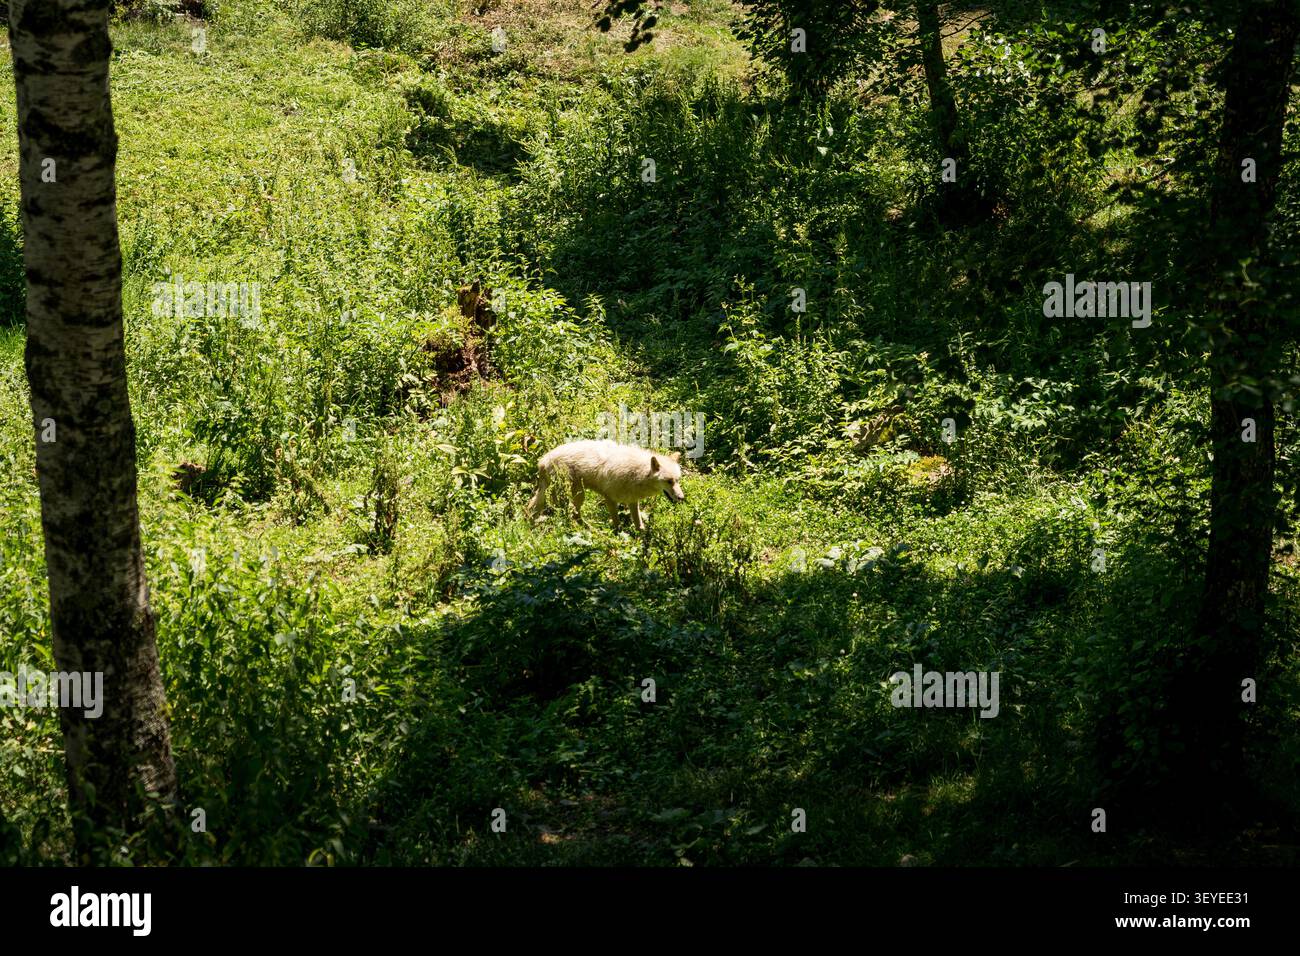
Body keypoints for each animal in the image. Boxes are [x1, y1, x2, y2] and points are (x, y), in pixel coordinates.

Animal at [526, 440, 686, 530]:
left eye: (677, 480)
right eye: (669, 481)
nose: (682, 498)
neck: (637, 472)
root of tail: (543, 460)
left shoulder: (632, 501)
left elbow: (639, 526)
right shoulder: (609, 499)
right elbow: (617, 525)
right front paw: (620, 537)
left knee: (532, 507)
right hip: (577, 494)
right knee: (573, 514)